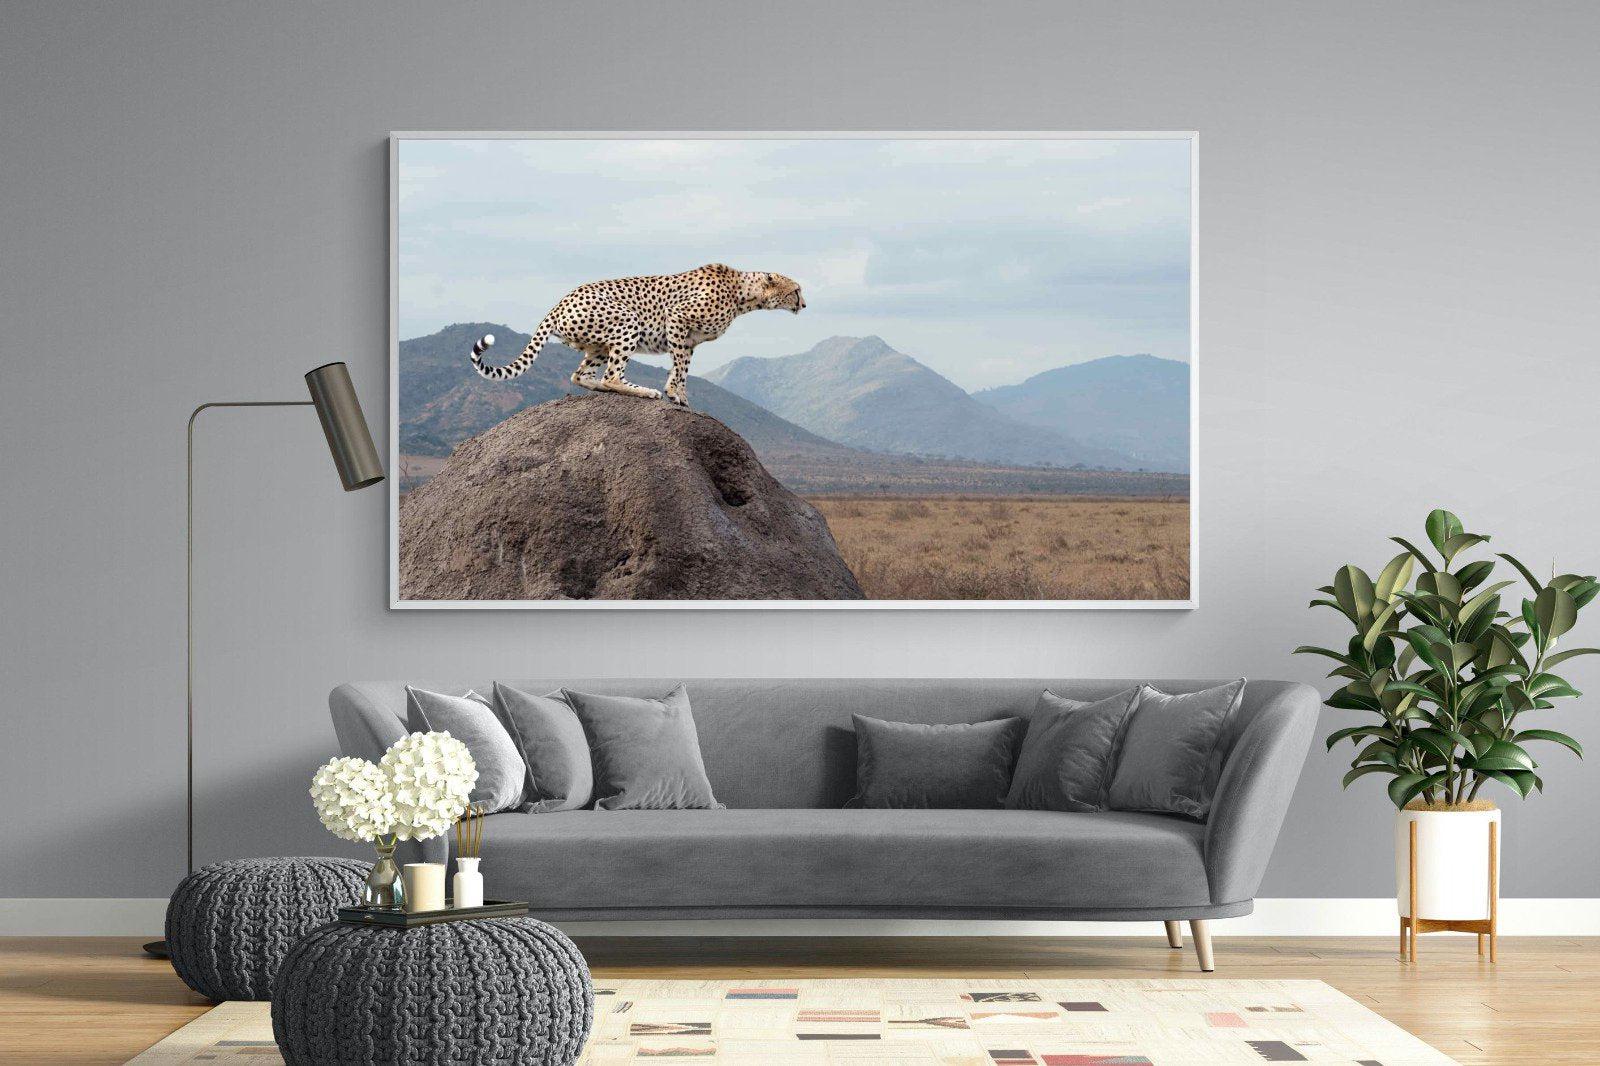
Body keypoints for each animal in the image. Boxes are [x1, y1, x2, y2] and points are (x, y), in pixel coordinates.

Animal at [468, 263, 805, 408]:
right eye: (796, 290)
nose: (804, 304)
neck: (743, 294)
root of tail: (561, 301)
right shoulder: (677, 319)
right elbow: (679, 367)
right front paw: (673, 393)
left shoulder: (689, 340)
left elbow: (682, 368)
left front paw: (679, 394)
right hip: (628, 321)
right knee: (612, 376)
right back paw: (643, 391)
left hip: (598, 345)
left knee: (581, 375)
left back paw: (604, 389)